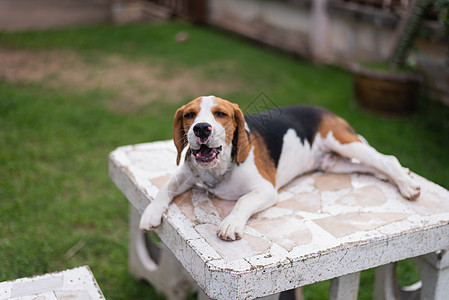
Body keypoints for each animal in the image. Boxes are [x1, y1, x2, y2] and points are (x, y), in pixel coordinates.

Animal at [140, 96, 420, 241]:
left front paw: (231, 223)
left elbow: (242, 200)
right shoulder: (187, 173)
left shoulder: (265, 190)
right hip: (336, 164)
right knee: (372, 168)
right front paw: (151, 212)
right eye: (189, 115)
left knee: (385, 160)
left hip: (344, 142)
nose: (201, 129)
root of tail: (326, 110)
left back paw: (407, 185)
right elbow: (166, 187)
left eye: (220, 114)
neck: (219, 169)